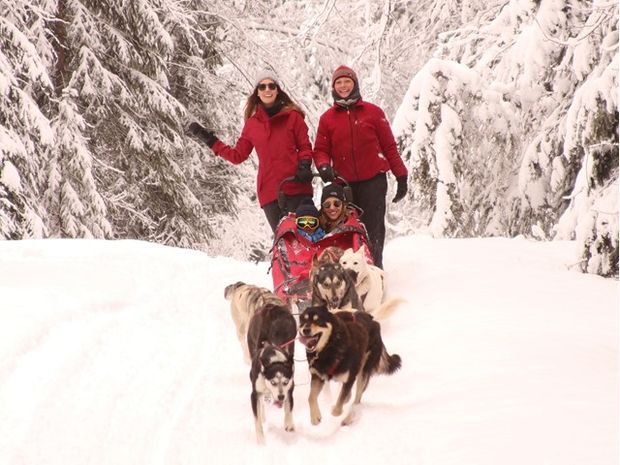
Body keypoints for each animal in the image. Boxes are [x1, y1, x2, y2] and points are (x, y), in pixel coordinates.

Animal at [246, 300, 296, 444]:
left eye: (285, 382)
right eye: (273, 382)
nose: (280, 397)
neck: (274, 360)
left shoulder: (289, 389)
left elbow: (289, 407)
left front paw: (289, 423)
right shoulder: (255, 394)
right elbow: (257, 419)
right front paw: (261, 440)